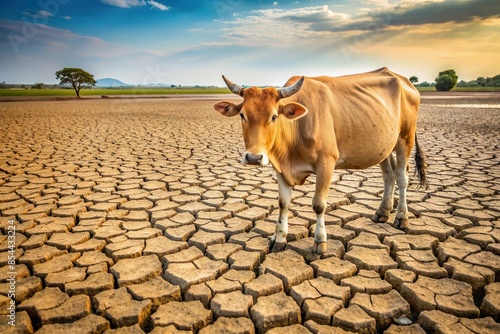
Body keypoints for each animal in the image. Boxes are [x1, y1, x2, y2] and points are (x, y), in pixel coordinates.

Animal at [213, 68, 428, 256]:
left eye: (274, 116)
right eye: (242, 115)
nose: (254, 158)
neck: (297, 127)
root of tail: (405, 80)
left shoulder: (327, 163)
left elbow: (318, 204)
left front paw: (320, 241)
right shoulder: (280, 167)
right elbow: (283, 203)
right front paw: (279, 238)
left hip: (405, 137)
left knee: (401, 176)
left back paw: (401, 217)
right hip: (383, 146)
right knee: (389, 175)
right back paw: (382, 212)